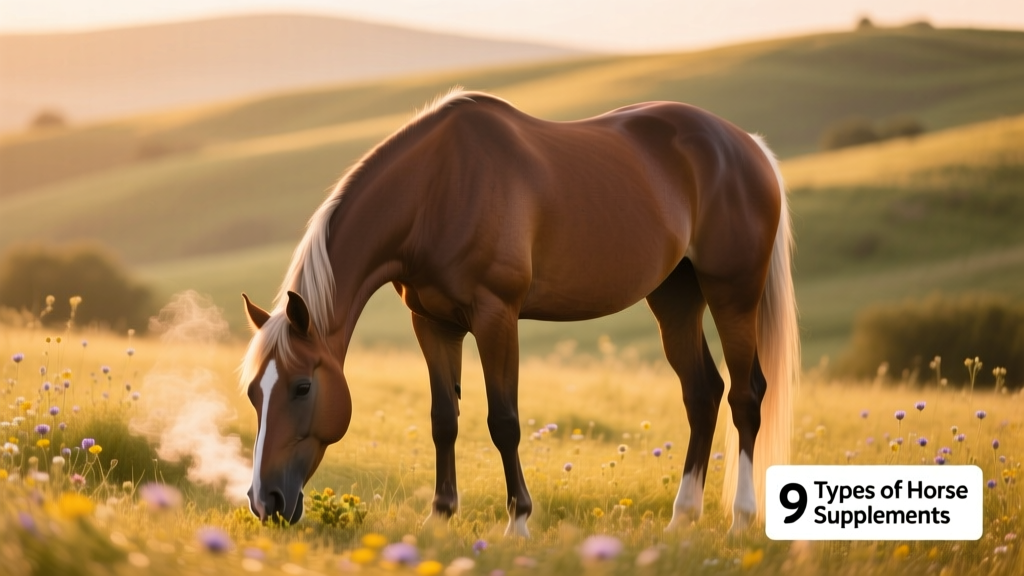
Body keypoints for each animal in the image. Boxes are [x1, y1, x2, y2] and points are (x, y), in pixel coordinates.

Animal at [239, 88, 799, 536]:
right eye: (252, 393)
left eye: (302, 387)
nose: (265, 501)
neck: (437, 188)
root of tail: (748, 146)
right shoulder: (433, 323)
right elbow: (444, 419)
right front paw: (440, 516)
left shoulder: (496, 316)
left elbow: (503, 421)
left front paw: (519, 522)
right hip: (675, 297)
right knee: (702, 393)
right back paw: (682, 518)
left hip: (733, 294)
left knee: (746, 396)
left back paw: (741, 520)